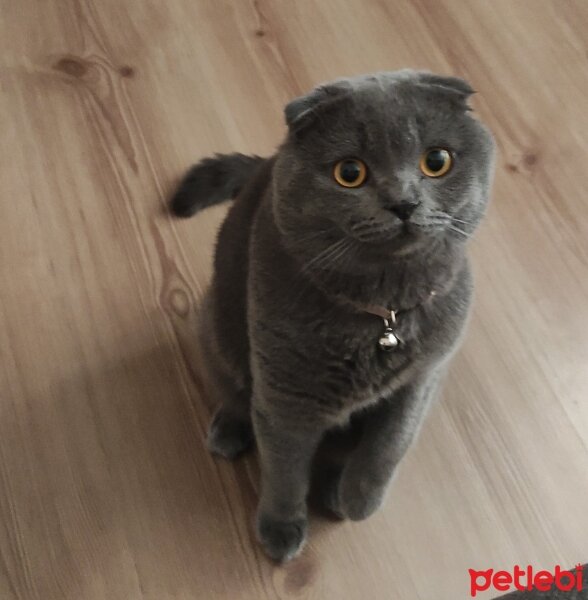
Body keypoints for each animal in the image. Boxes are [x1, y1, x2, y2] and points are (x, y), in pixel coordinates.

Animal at [171, 70, 496, 564]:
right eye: (350, 172)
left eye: (437, 161)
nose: (403, 202)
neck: (385, 315)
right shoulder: (286, 397)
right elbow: (284, 469)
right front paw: (281, 529)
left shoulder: (422, 379)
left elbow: (388, 448)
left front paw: (359, 501)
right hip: (217, 326)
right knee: (234, 391)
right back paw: (229, 431)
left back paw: (333, 488)